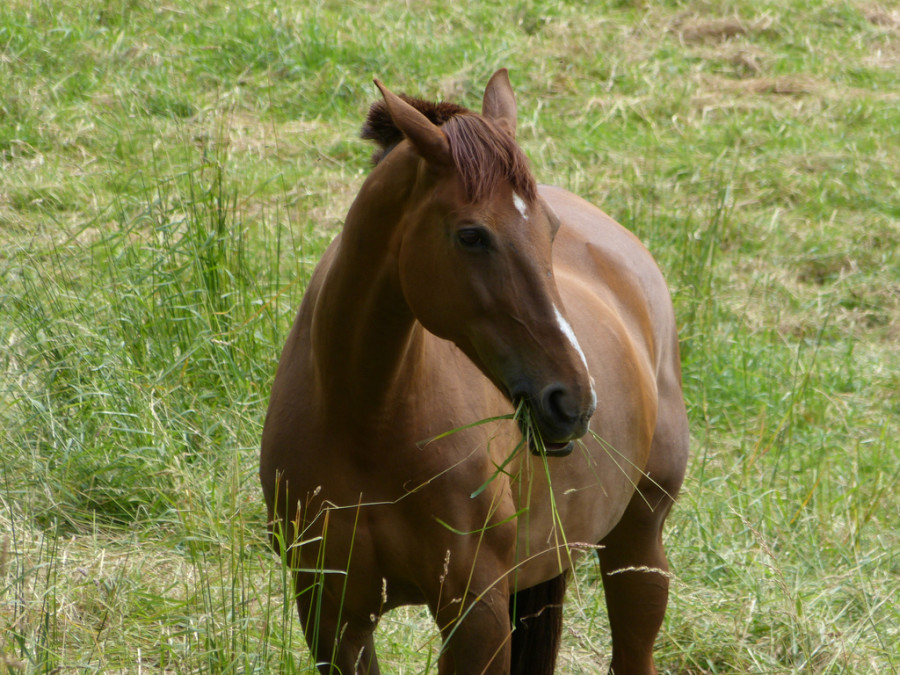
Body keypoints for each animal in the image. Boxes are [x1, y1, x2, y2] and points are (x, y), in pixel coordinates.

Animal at [260, 69, 689, 675]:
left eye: (550, 231)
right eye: (471, 235)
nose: (572, 402)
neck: (368, 420)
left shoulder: (476, 615)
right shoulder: (331, 613)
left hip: (637, 548)